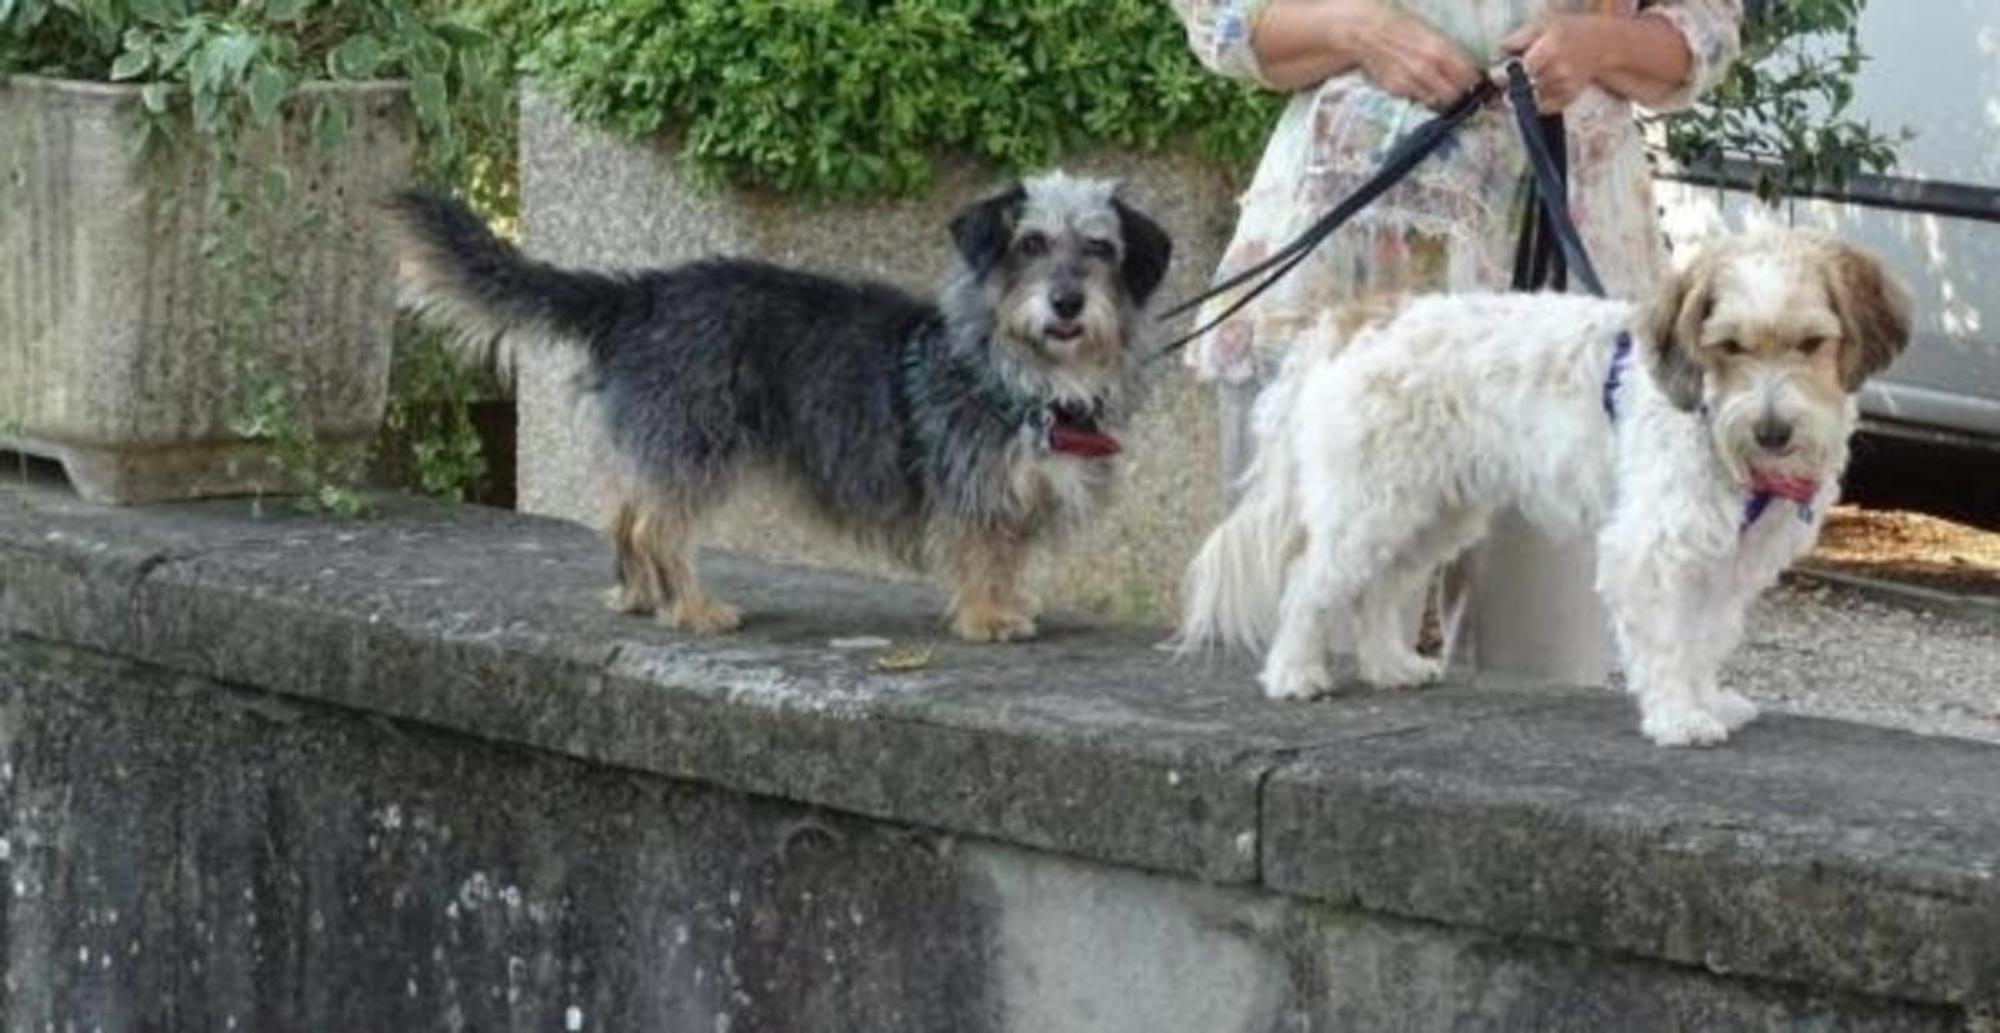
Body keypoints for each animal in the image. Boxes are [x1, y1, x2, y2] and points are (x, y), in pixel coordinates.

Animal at [386, 176, 1168, 640]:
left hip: (662, 447)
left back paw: (639, 599)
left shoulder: (1013, 495)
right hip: (696, 445)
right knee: (655, 527)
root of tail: (640, 294)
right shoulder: (972, 488)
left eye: (1100, 247)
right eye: (1030, 242)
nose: (1066, 303)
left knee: (625, 516)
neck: (1019, 370)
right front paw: (985, 617)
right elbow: (980, 553)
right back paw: (692, 608)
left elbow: (1008, 555)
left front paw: (1009, 603)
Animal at [1176, 230, 1912, 744]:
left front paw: (1708, 700)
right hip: (1369, 508)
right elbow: (1669, 640)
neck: (1709, 414)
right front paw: (1678, 716)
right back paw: (1293, 674)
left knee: (1381, 590)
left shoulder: (1731, 559)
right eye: (1729, 345)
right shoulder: (1652, 548)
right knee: (1309, 582)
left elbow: (1705, 636)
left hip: (1430, 511)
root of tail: (1357, 318)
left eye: (1812, 342)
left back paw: (1390, 665)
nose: (1772, 431)